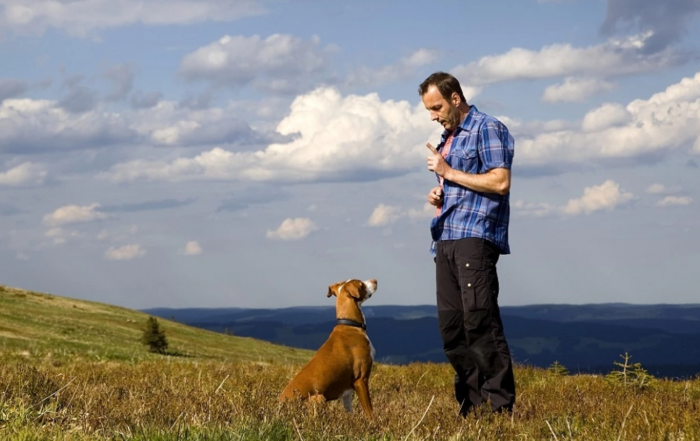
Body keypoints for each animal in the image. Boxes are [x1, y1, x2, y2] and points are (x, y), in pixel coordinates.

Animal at [278, 278, 378, 416]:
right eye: (361, 283)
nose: (375, 280)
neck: (350, 325)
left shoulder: (347, 392)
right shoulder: (360, 380)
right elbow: (369, 412)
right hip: (320, 397)